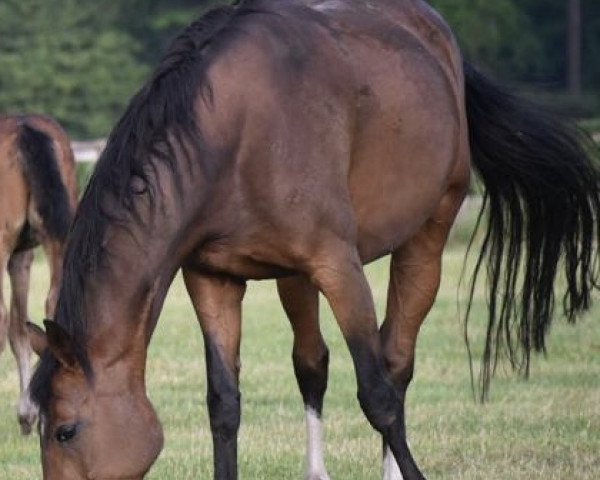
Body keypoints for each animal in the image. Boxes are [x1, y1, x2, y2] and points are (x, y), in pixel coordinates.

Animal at [27, 0, 596, 480]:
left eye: (66, 431)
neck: (232, 135)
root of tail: (441, 43)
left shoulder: (338, 267)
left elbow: (377, 394)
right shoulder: (213, 278)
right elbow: (224, 401)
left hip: (426, 237)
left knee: (396, 361)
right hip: (292, 278)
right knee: (312, 363)